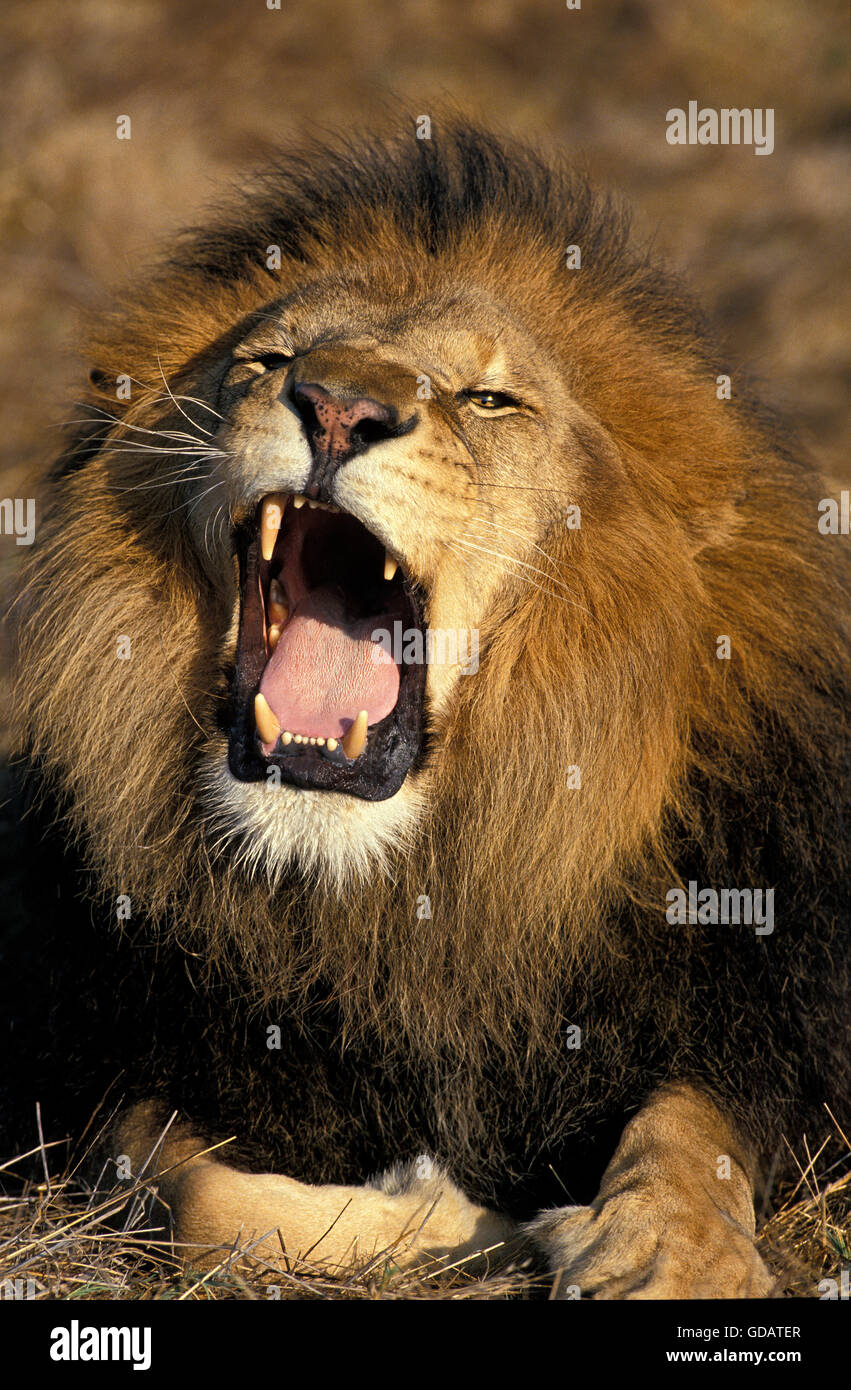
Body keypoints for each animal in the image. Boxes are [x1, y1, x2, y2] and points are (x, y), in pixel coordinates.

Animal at [2, 123, 849, 1299]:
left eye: (489, 401)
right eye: (268, 362)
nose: (336, 408)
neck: (398, 900)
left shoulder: (764, 1012)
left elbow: (693, 1129)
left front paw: (659, 1256)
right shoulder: (97, 1065)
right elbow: (190, 1193)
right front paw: (464, 1219)